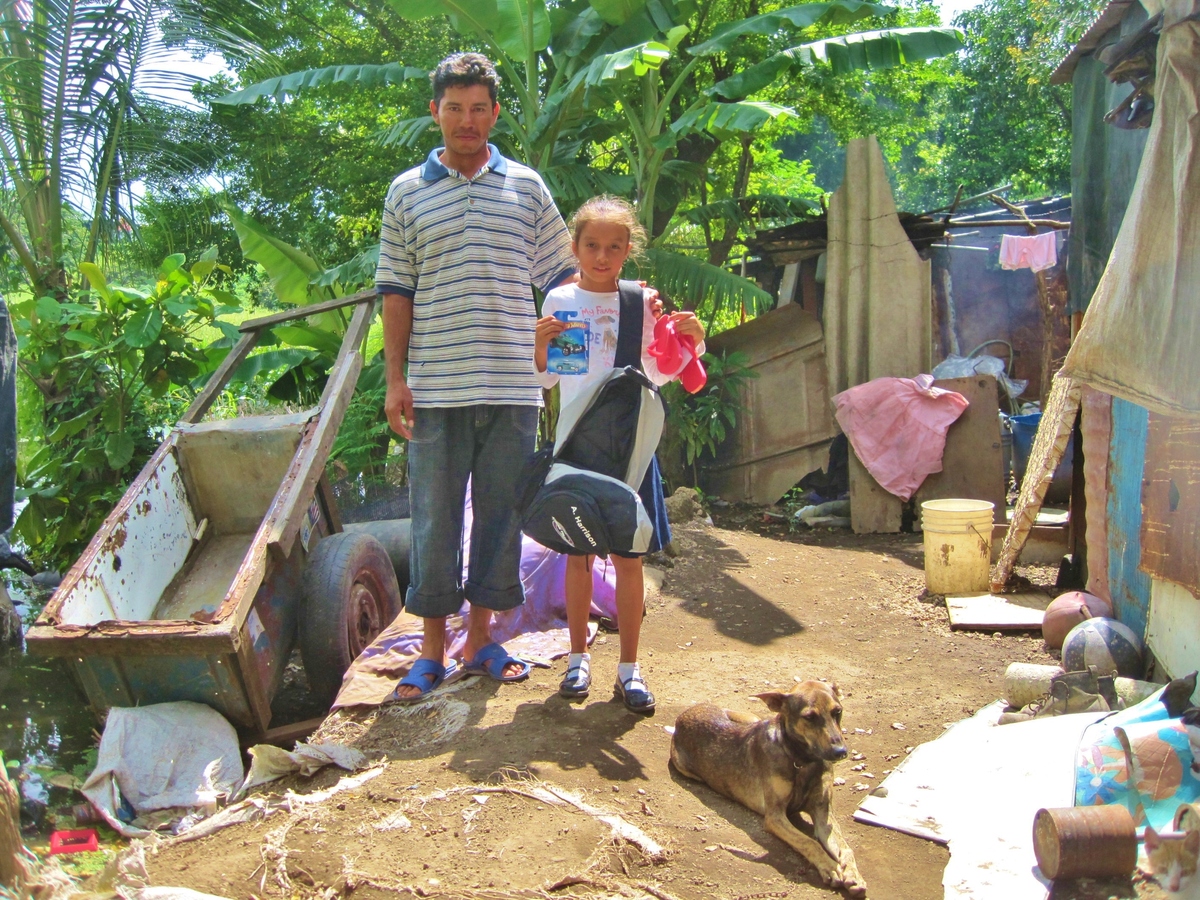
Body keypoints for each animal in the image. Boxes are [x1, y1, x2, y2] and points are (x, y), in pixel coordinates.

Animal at [672, 681, 868, 897]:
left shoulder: (823, 814)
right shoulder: (775, 817)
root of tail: (684, 714)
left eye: (837, 711)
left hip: (751, 718)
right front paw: (829, 867)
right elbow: (809, 842)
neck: (802, 761)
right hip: (685, 768)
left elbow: (845, 847)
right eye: (809, 717)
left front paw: (853, 874)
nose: (840, 752)